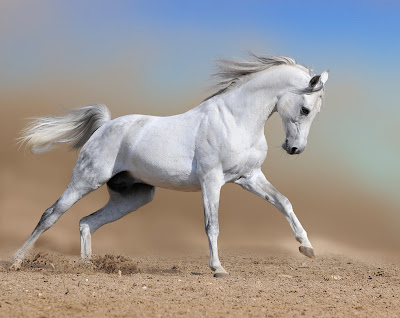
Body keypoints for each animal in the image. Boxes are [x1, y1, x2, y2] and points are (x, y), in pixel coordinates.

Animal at [10, 54, 328, 276]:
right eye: (305, 109)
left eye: (315, 112)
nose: (295, 148)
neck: (235, 119)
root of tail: (105, 126)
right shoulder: (211, 180)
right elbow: (212, 224)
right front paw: (218, 268)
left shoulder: (249, 177)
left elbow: (283, 202)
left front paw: (307, 248)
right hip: (86, 180)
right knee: (51, 215)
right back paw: (16, 261)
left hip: (134, 197)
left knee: (87, 222)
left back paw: (89, 266)